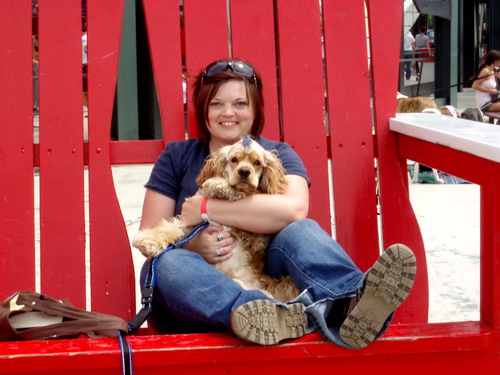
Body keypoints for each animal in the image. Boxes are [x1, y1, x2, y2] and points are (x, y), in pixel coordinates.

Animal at [133, 137, 300, 304]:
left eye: (257, 162)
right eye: (234, 160)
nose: (244, 171)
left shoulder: (256, 237)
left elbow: (242, 193)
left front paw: (217, 184)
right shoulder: (192, 224)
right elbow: (170, 228)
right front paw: (147, 241)